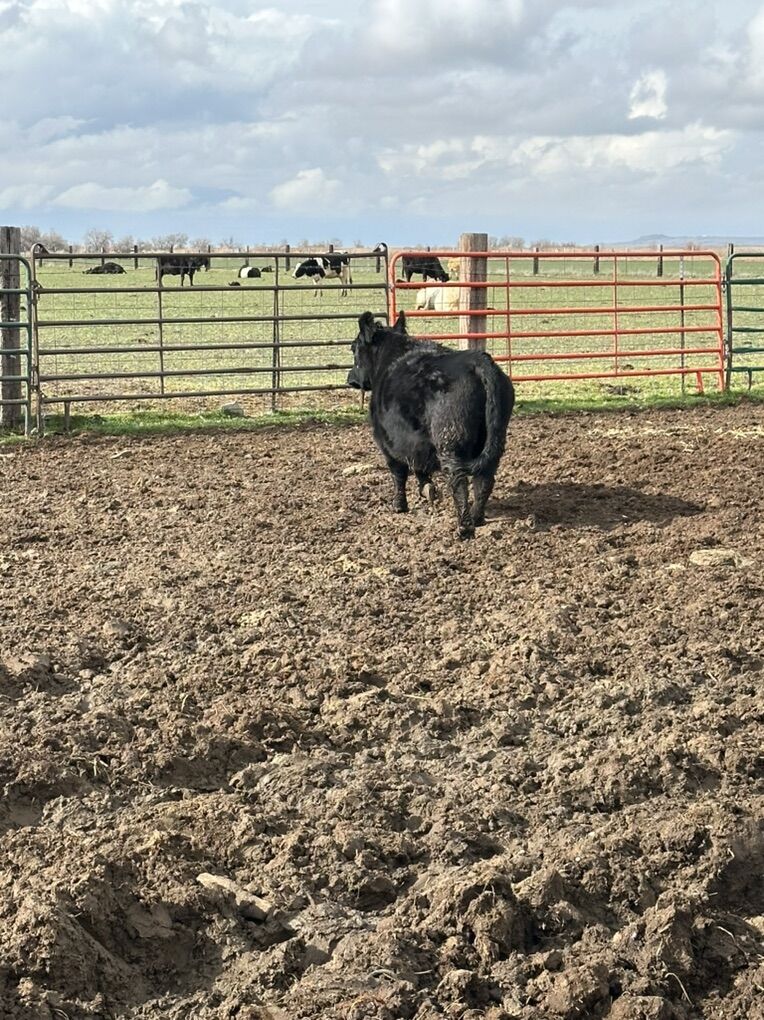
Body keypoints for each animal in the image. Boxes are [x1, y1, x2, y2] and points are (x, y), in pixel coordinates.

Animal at [347, 310, 514, 539]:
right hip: (494, 440)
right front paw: (427, 490)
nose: (350, 379)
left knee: (458, 479)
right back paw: (477, 518)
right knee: (484, 479)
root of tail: (477, 361)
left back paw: (464, 527)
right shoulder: (417, 443)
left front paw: (399, 505)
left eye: (354, 347)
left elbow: (398, 472)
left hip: (450, 441)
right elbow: (420, 467)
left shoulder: (387, 442)